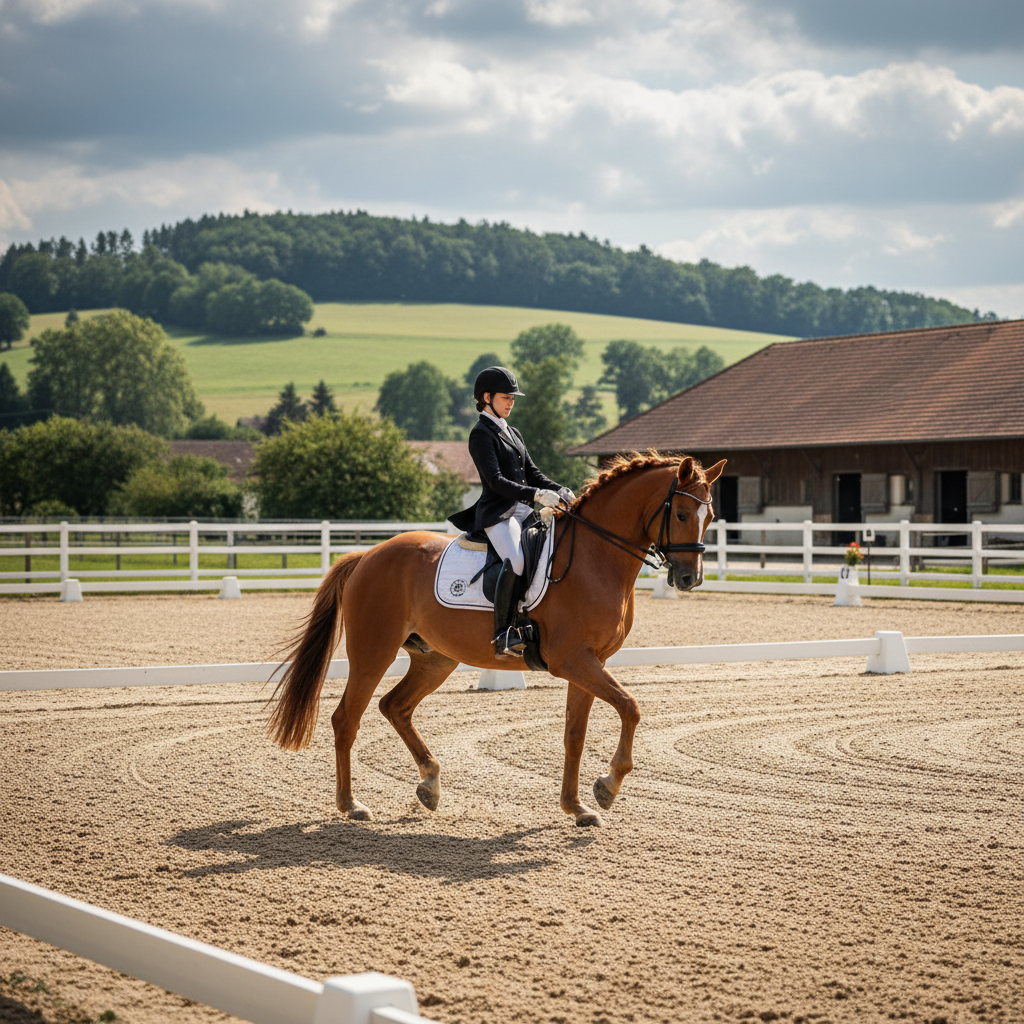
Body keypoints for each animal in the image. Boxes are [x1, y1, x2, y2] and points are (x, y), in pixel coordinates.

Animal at [267, 452, 726, 827]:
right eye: (681, 514)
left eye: (710, 517)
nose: (690, 578)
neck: (595, 558)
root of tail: (367, 555)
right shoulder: (573, 661)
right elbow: (631, 707)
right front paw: (607, 787)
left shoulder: (591, 663)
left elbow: (574, 735)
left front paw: (577, 807)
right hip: (372, 652)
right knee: (347, 718)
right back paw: (351, 805)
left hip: (435, 658)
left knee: (395, 707)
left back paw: (429, 785)